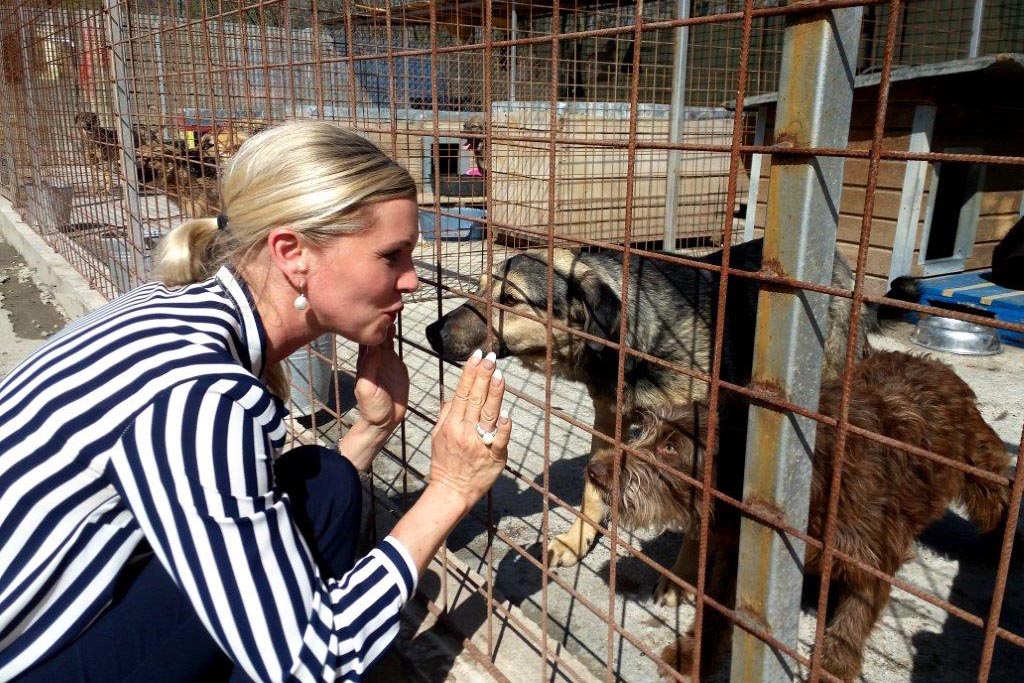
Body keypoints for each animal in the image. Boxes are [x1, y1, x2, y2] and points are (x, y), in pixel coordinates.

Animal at [423, 237, 872, 569]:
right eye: (479, 286)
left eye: (510, 300)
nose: (431, 331)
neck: (628, 339)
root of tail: (838, 259)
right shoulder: (608, 419)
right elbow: (592, 489)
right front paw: (575, 541)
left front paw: (683, 580)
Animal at [589, 352, 1011, 683]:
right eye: (643, 428)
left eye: (671, 447)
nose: (594, 470)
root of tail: (934, 364)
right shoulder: (737, 552)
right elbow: (717, 608)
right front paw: (693, 657)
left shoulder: (871, 555)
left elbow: (850, 622)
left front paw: (832, 669)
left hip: (978, 464)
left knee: (999, 492)